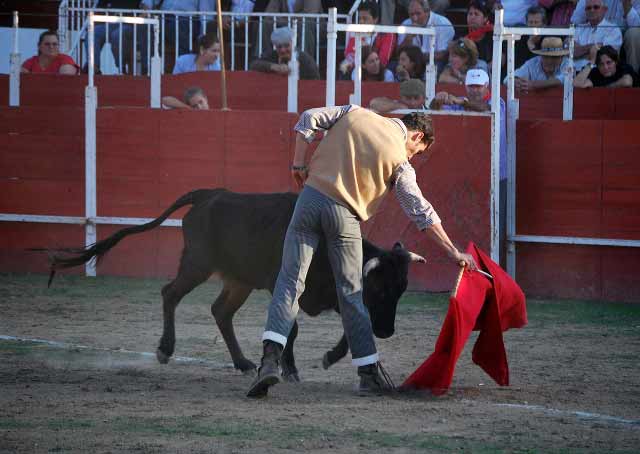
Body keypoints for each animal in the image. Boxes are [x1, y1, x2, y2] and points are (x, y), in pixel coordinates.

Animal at [46, 188, 424, 380]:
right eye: (381, 289)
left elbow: (352, 324)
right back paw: (166, 349)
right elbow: (291, 326)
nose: (387, 331)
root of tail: (207, 195)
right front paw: (289, 368)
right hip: (198, 264)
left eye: (400, 291)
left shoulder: (337, 293)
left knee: (220, 311)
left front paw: (329, 357)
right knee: (171, 293)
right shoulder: (280, 283)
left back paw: (242, 362)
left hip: (239, 280)